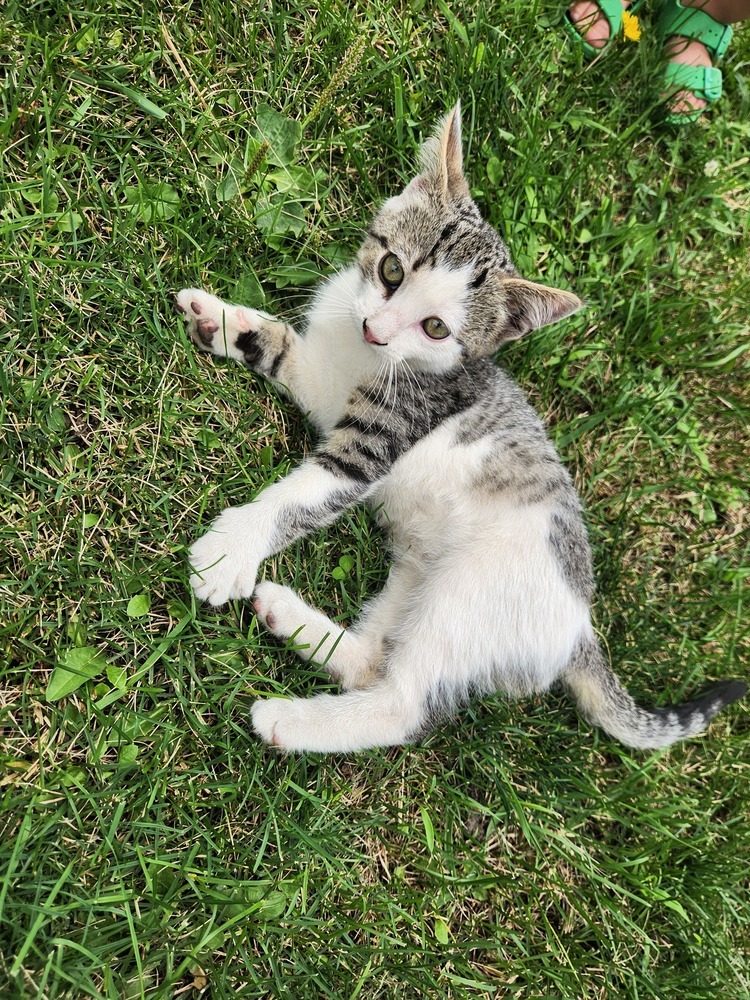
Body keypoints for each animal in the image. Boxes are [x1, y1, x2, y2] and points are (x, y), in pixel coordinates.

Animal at [175, 105, 748, 752]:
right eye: (391, 269)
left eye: (436, 328)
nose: (376, 329)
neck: (371, 358)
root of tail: (581, 628)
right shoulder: (327, 381)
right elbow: (285, 351)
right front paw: (224, 321)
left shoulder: (386, 433)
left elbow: (307, 492)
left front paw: (230, 550)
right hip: (417, 572)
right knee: (374, 661)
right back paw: (290, 619)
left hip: (468, 596)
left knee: (402, 705)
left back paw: (286, 722)